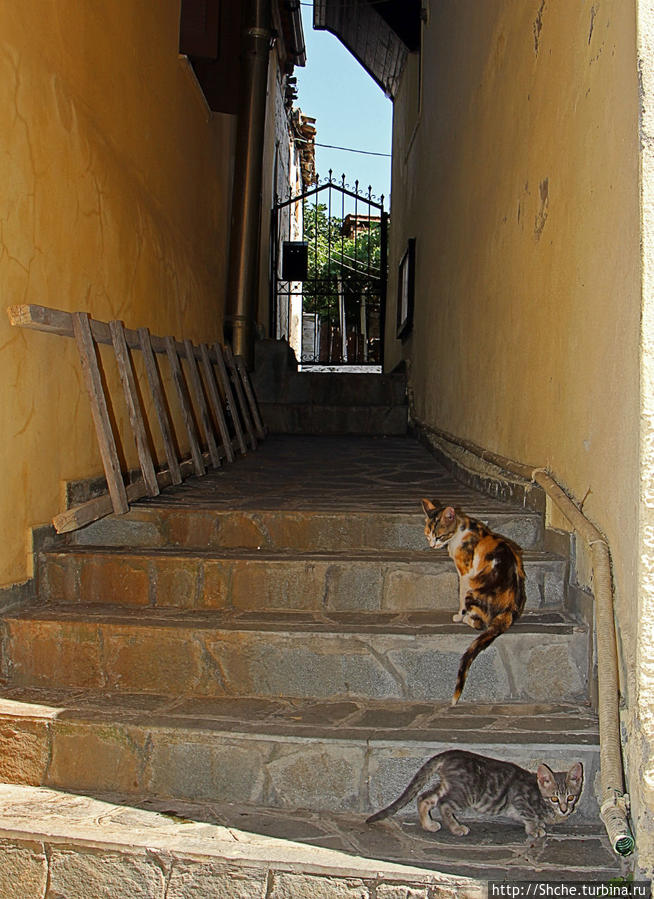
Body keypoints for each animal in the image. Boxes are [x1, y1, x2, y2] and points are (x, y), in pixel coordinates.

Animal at [366, 748, 588, 840]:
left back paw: (428, 825)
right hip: (465, 793)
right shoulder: (519, 798)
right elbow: (529, 815)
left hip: (449, 785)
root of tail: (450, 754)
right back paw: (456, 828)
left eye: (571, 797)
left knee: (425, 798)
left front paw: (541, 824)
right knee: (444, 804)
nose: (565, 809)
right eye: (554, 798)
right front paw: (535, 829)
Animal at [426, 502, 528, 708]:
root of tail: (508, 611)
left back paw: (466, 618)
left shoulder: (465, 572)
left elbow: (460, 596)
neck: (462, 528)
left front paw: (458, 615)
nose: (432, 544)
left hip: (474, 588)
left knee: (480, 623)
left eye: (439, 536)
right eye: (428, 534)